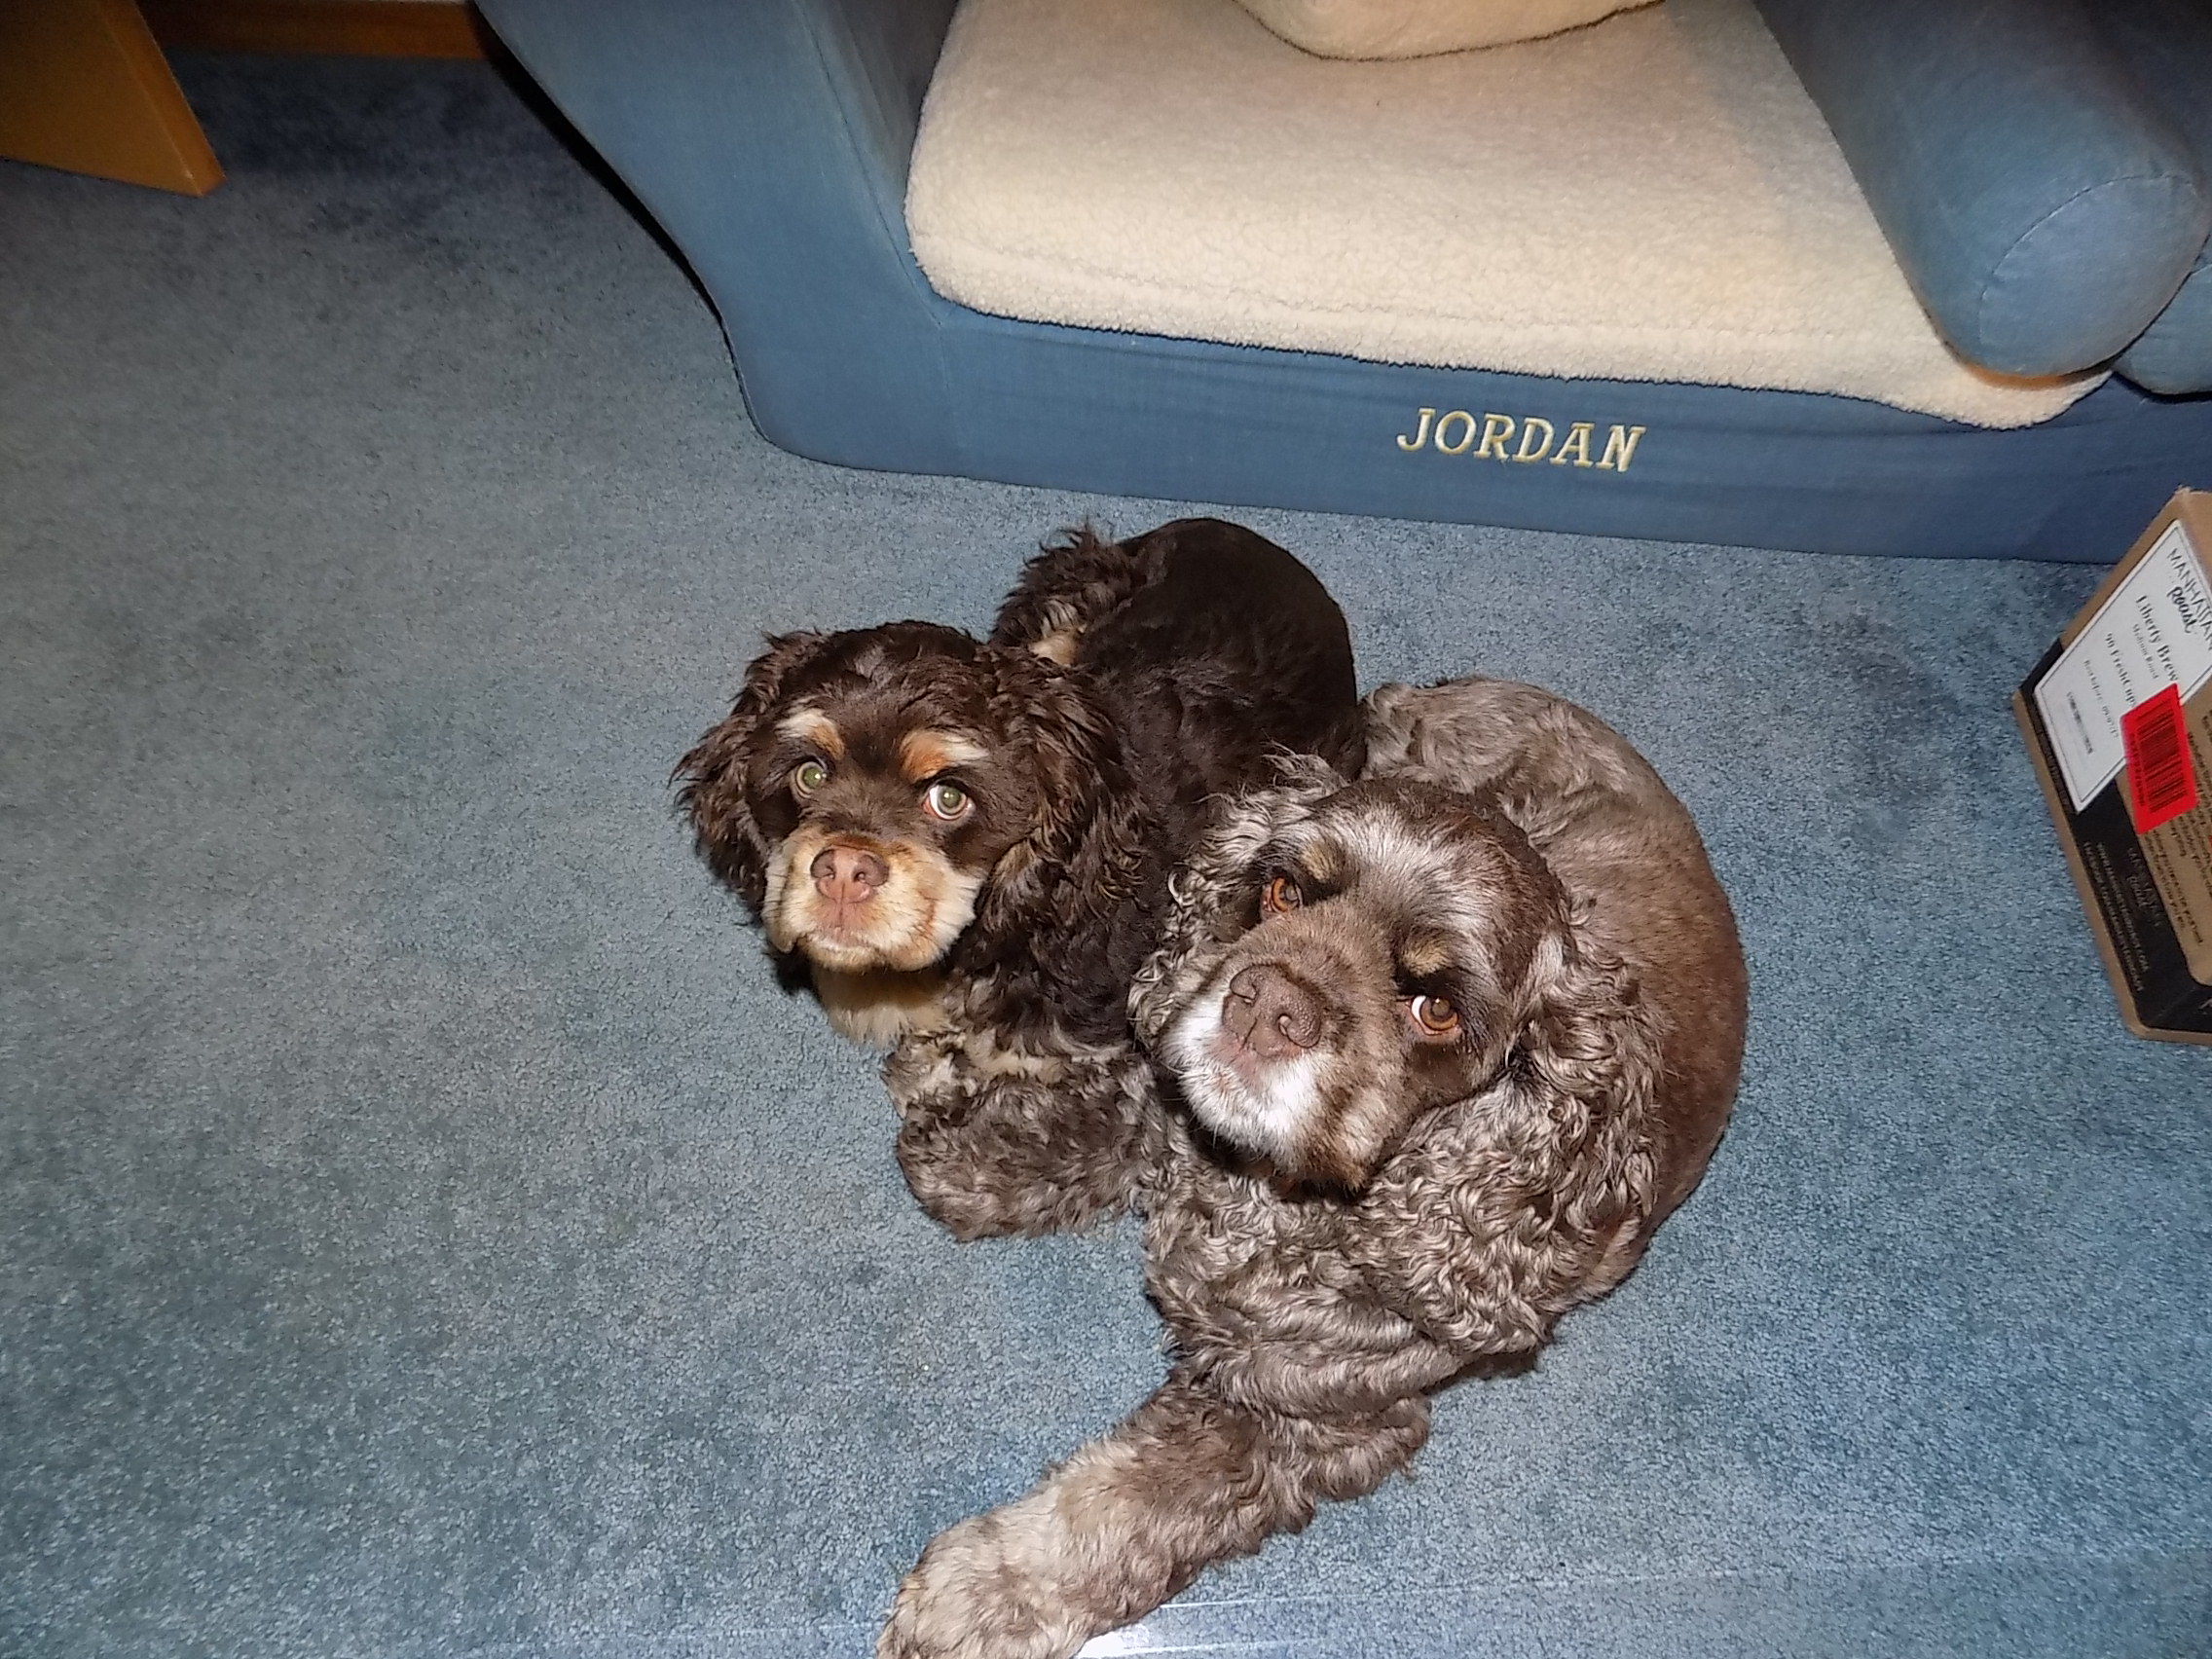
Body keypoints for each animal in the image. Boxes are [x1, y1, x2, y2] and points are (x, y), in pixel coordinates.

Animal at [879, 675, 1749, 1659]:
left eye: (1436, 1008)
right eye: (1285, 888)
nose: (1267, 1004)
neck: (1270, 1201)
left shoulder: (1304, 1417)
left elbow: (1125, 1503)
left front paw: (977, 1593)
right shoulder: (1177, 1112)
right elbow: (1114, 1118)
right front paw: (969, 1143)